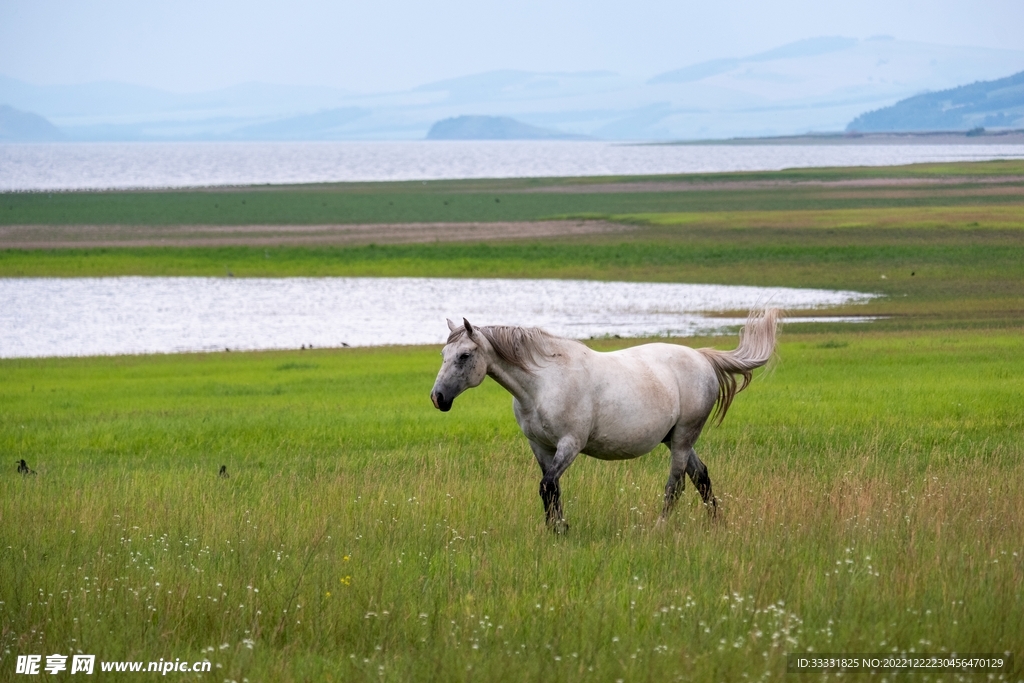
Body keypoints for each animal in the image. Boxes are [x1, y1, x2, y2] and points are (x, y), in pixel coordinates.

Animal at [430, 309, 781, 531]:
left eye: (464, 356)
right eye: (444, 356)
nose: (438, 398)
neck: (544, 383)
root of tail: (702, 357)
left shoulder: (570, 444)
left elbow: (548, 486)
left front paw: (559, 530)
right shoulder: (540, 447)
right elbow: (552, 488)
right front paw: (556, 529)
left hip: (683, 437)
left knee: (676, 484)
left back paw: (659, 528)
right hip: (674, 438)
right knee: (701, 477)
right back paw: (716, 525)